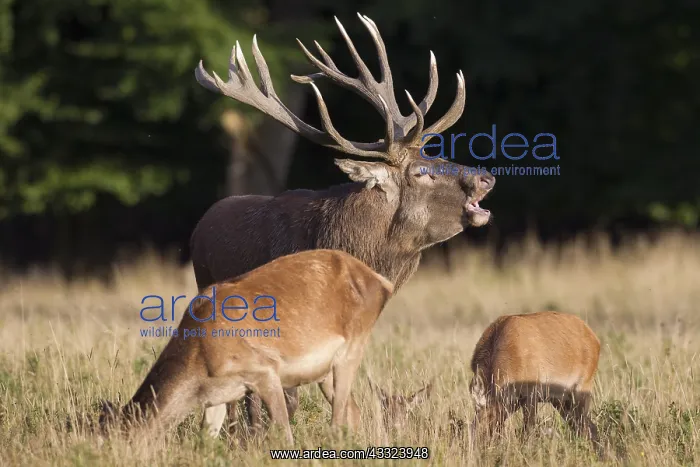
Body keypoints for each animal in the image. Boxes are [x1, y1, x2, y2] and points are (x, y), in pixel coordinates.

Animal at [99, 249, 394, 445]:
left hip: (353, 347)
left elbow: (284, 432)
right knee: (353, 411)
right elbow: (206, 437)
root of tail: (383, 282)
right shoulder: (218, 393)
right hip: (324, 371)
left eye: (118, 440)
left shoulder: (265, 371)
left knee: (339, 417)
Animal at [468, 311, 602, 454]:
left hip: (579, 396)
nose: (477, 453)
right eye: (472, 429)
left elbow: (528, 431)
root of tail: (592, 336)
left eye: (487, 427)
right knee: (588, 428)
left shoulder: (530, 397)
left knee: (586, 428)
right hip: (562, 403)